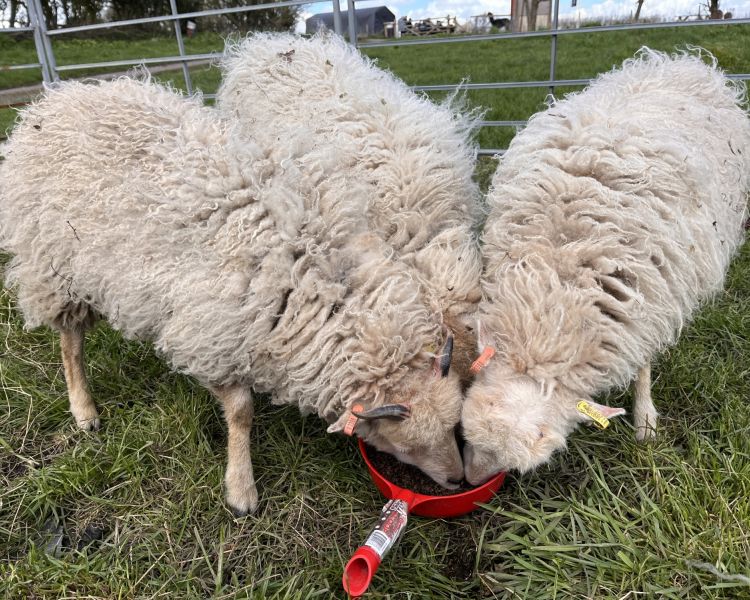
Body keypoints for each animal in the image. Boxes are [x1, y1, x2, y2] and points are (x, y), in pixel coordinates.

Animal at [0, 76, 467, 516]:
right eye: (404, 443)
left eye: (453, 426)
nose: (458, 480)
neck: (313, 271)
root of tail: (55, 101)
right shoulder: (212, 334)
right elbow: (241, 412)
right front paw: (241, 489)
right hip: (54, 268)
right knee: (70, 343)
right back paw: (84, 410)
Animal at [460, 48, 750, 484]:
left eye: (541, 436)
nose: (471, 481)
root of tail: (682, 61)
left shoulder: (650, 298)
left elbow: (643, 364)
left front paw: (645, 422)